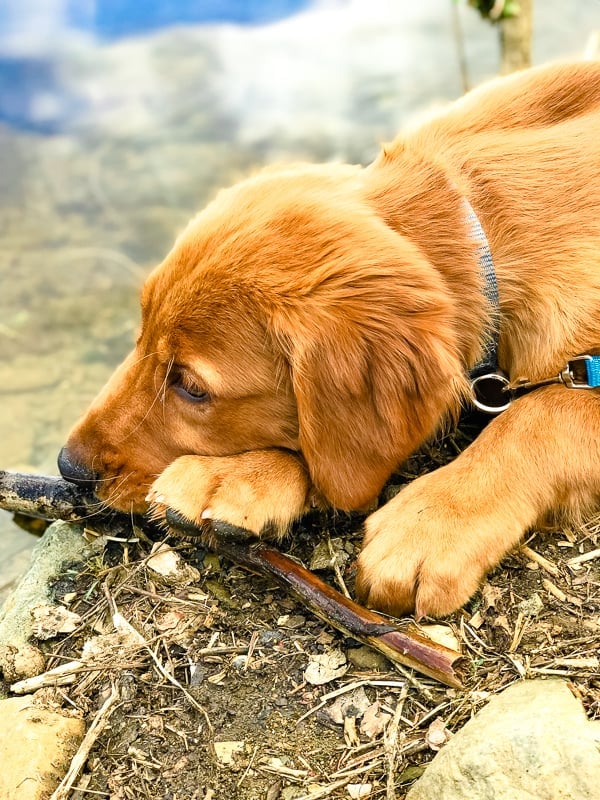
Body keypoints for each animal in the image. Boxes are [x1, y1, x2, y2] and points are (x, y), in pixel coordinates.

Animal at [58, 62, 600, 620]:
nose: (68, 468)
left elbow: (542, 414)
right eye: (140, 332)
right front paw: (235, 475)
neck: (477, 230)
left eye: (191, 386)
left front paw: (429, 524)